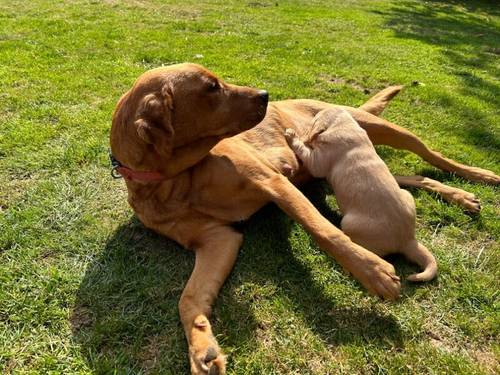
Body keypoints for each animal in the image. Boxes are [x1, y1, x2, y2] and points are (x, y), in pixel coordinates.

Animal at [286, 108, 438, 282]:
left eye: (313, 121)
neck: (342, 125)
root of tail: (407, 240)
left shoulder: (318, 160)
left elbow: (305, 151)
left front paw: (291, 135)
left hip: (349, 223)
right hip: (406, 194)